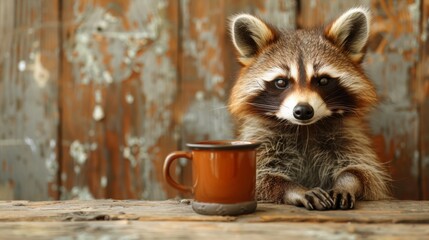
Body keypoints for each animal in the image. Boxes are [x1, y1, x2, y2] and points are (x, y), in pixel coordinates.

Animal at [227, 7, 392, 210]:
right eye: (281, 82)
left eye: (323, 80)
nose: (303, 111)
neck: (305, 129)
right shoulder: (261, 138)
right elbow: (260, 176)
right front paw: (294, 189)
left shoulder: (349, 137)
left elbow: (364, 172)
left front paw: (346, 182)